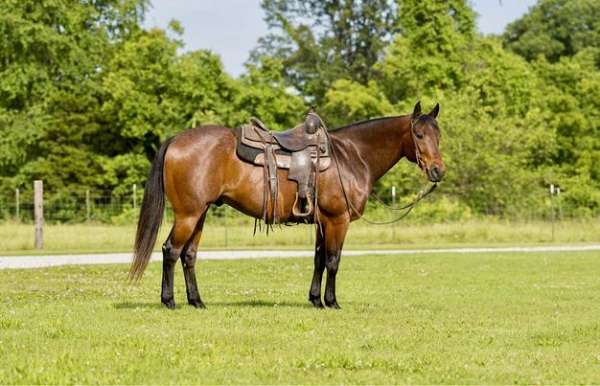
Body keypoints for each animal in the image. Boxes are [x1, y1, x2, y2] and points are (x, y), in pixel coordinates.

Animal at [130, 101, 446, 310]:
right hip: (189, 214)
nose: (438, 171)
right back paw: (169, 301)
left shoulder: (322, 222)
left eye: (439, 135)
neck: (351, 156)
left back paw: (197, 301)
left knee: (189, 255)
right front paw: (332, 302)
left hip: (200, 214)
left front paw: (316, 300)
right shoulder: (338, 220)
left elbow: (319, 259)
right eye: (419, 135)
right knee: (171, 251)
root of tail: (176, 139)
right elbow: (333, 260)